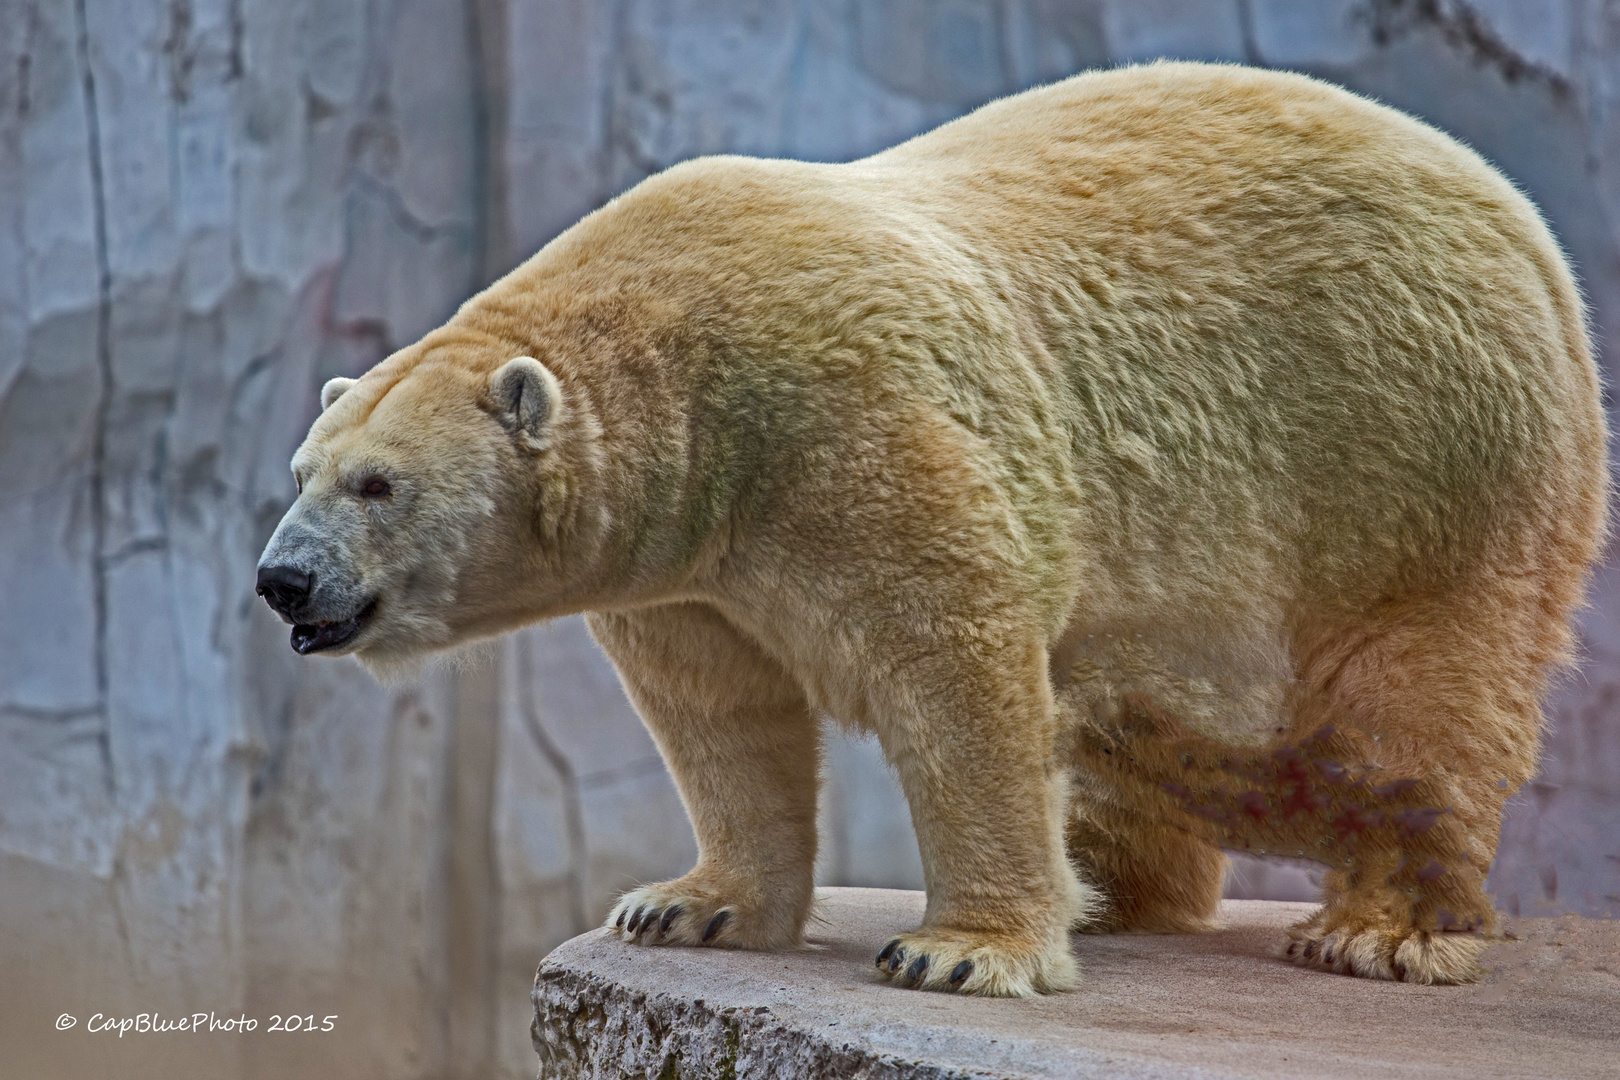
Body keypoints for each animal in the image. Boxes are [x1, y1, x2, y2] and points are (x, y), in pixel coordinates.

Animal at [255, 63, 1607, 997]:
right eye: (302, 469)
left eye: (378, 484)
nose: (282, 580)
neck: (690, 369)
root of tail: (1529, 231)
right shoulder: (691, 561)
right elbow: (720, 714)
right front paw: (684, 905)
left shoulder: (859, 428)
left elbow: (953, 669)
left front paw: (958, 951)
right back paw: (1110, 888)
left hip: (1418, 446)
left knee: (1420, 690)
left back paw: (1378, 930)